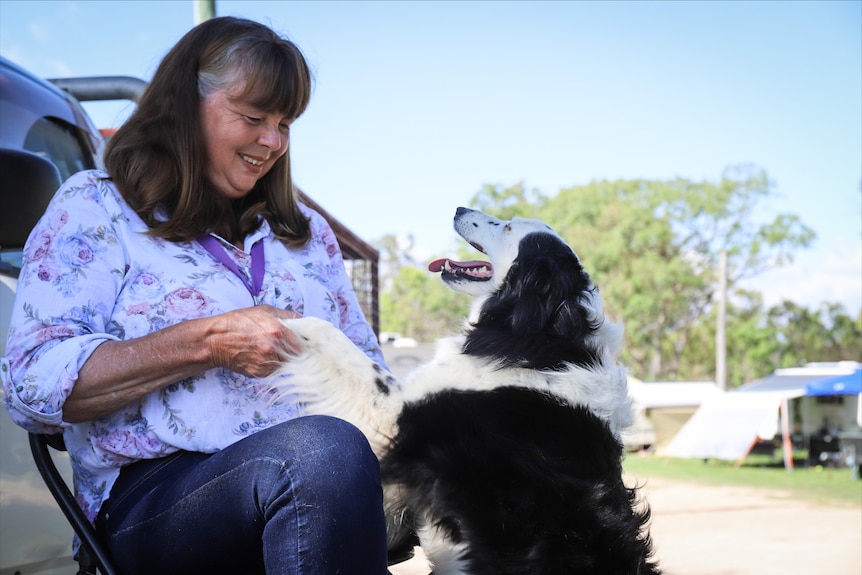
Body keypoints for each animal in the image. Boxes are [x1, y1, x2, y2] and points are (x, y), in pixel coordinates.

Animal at [270, 208, 660, 575]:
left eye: (507, 227)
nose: (459, 209)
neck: (542, 334)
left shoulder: (395, 412)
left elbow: (332, 337)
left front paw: (276, 320)